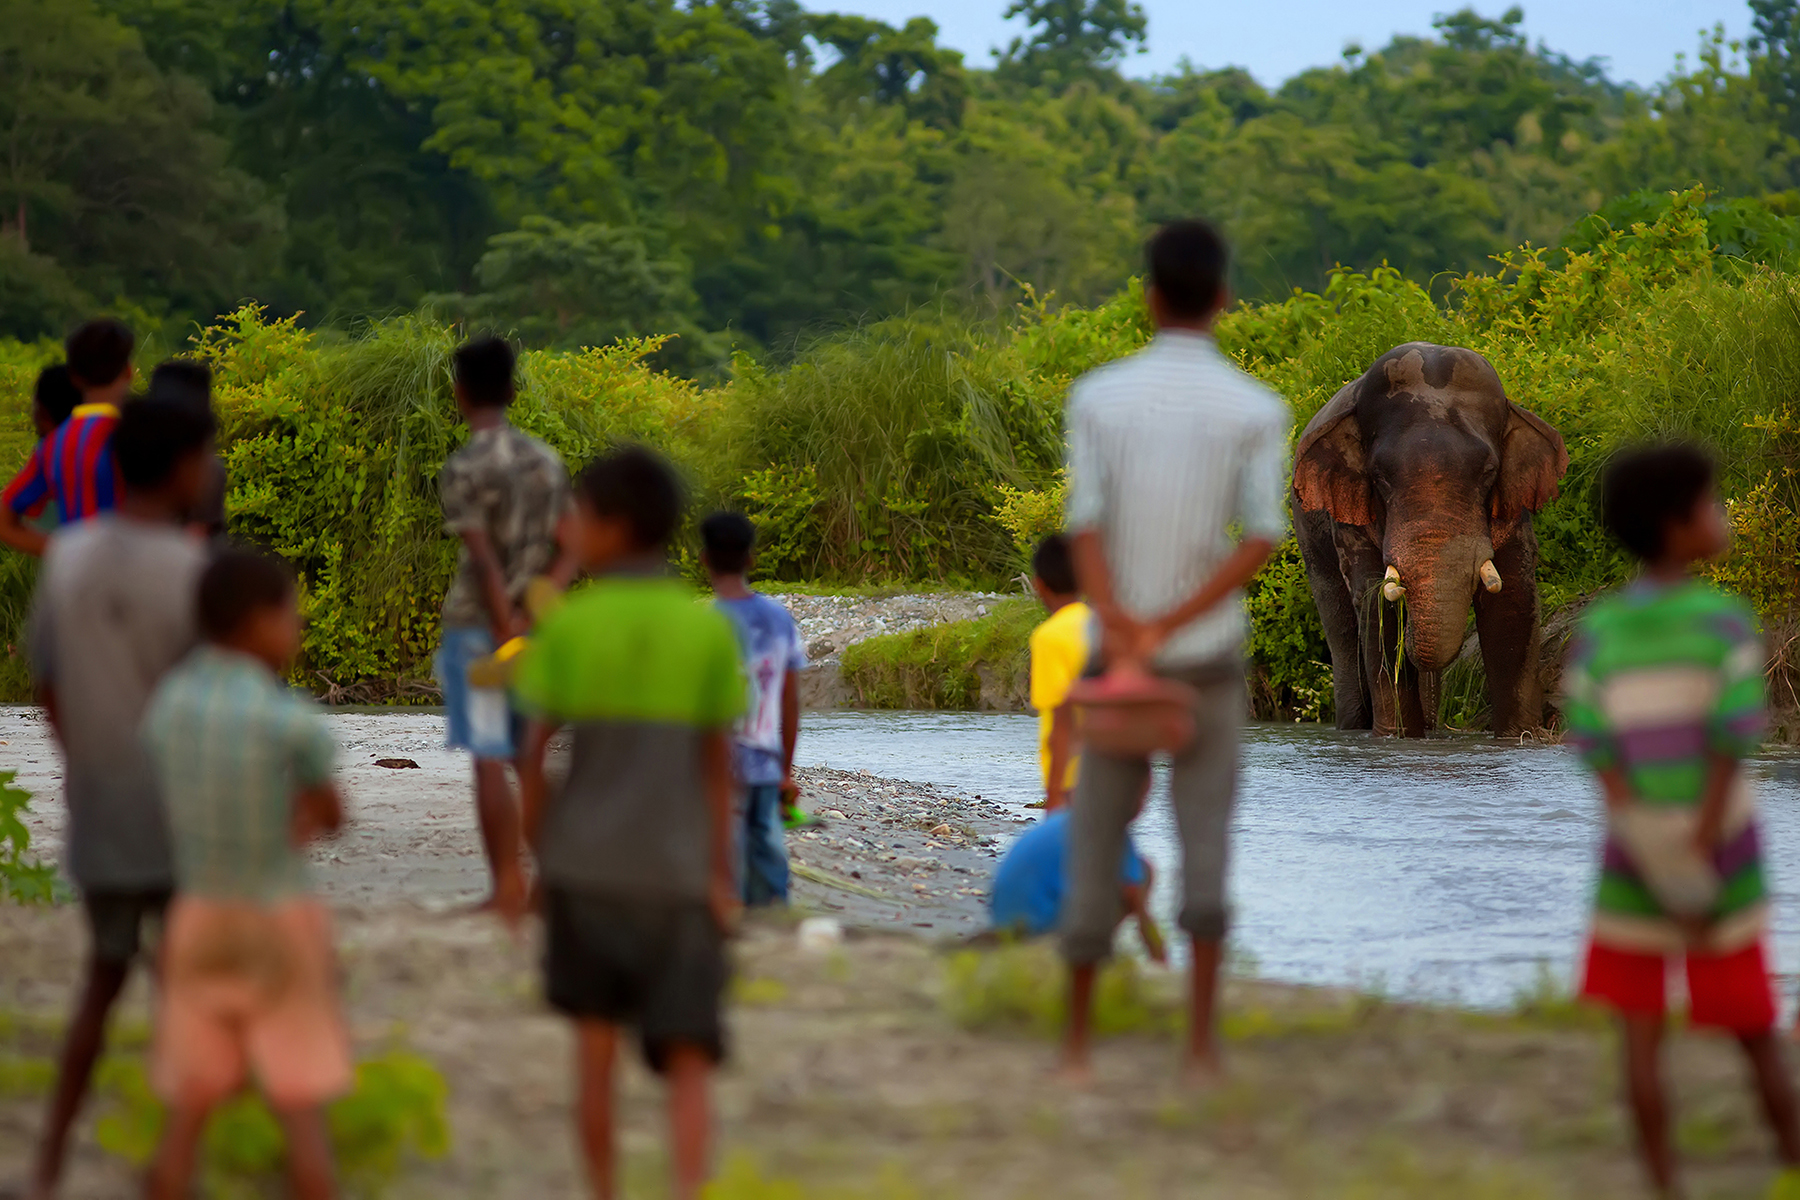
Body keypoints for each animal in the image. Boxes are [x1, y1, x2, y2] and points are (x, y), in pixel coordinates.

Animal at [1296, 341, 1562, 737]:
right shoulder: (1348, 517)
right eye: (1379, 476)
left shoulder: (1513, 505)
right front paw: (1398, 738)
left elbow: (1512, 600)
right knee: (1341, 625)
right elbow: (1377, 601)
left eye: (1489, 472)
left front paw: (1520, 737)